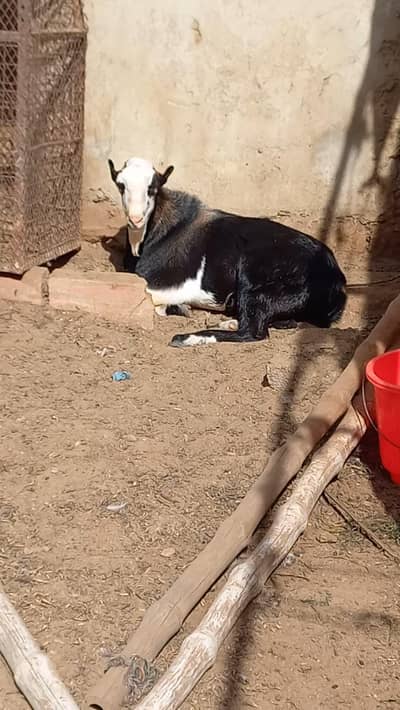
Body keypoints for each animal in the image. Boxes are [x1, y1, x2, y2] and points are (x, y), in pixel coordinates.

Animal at [108, 157, 347, 347]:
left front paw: (178, 309)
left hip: (257, 287)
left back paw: (187, 337)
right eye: (121, 186)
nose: (136, 218)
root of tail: (336, 278)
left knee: (253, 332)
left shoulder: (167, 284)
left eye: (153, 188)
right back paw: (230, 321)